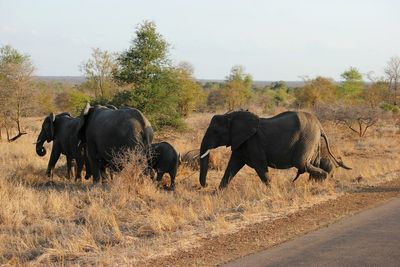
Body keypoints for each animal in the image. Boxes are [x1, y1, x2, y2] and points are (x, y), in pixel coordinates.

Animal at [200, 110, 350, 189]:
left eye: (215, 132)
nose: (206, 184)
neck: (231, 116)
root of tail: (320, 125)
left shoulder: (253, 142)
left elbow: (260, 167)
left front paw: (271, 190)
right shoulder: (241, 142)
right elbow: (232, 166)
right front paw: (218, 193)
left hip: (307, 138)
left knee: (301, 163)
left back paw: (323, 178)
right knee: (310, 163)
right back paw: (315, 182)